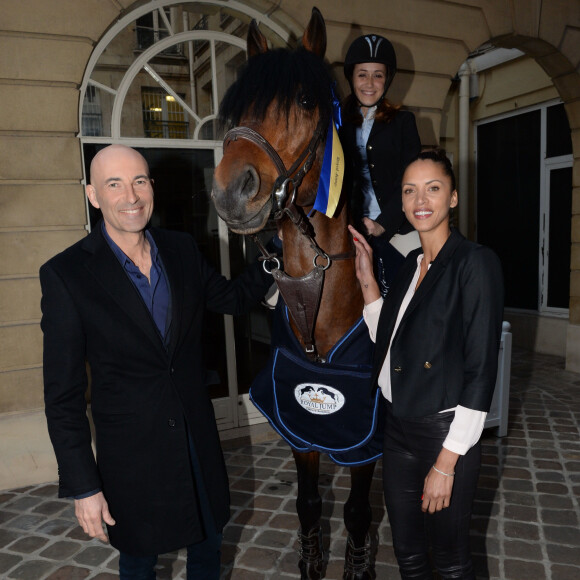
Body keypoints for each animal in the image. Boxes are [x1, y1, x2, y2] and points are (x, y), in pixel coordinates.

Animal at [211, 7, 378, 580]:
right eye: (236, 107)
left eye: (305, 101)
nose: (230, 191)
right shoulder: (300, 425)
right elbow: (309, 504)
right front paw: (312, 562)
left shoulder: (361, 436)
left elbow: (357, 510)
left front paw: (357, 566)